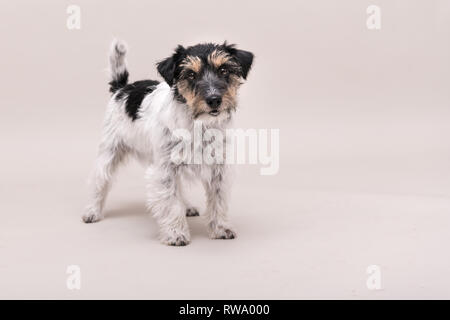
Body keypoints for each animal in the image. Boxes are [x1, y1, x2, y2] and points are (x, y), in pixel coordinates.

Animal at [83, 39, 255, 245]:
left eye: (224, 70)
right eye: (190, 74)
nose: (214, 100)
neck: (197, 123)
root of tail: (122, 88)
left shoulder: (219, 169)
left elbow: (218, 201)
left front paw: (220, 228)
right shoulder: (164, 170)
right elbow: (171, 202)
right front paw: (176, 233)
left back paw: (187, 207)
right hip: (109, 152)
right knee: (99, 181)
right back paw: (92, 211)